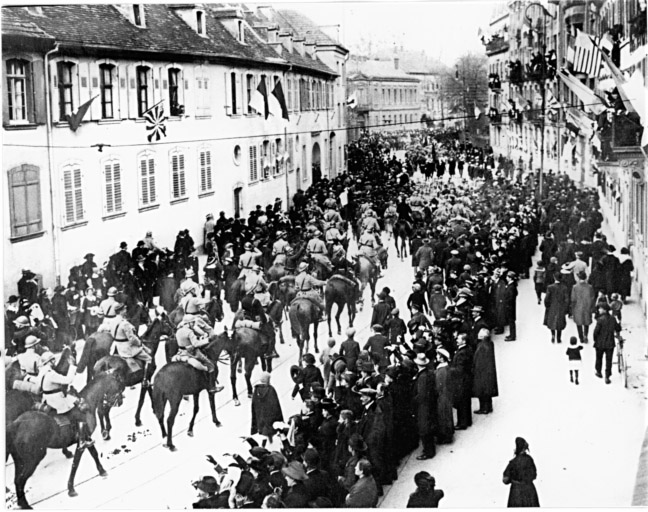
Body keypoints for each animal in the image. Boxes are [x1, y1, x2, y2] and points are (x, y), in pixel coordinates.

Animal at [6, 372, 124, 508]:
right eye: (119, 384)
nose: (120, 400)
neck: (87, 404)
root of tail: (16, 424)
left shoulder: (87, 438)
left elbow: (94, 453)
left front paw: (102, 470)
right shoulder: (81, 442)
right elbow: (75, 464)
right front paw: (71, 489)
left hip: (19, 460)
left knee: (17, 480)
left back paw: (21, 503)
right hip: (33, 459)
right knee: (20, 480)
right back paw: (25, 505)